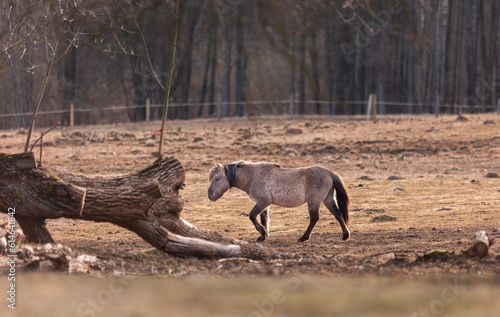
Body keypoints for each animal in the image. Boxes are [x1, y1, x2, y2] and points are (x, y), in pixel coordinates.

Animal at [208, 160, 352, 242]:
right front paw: (263, 236)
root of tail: (329, 173)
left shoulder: (263, 202)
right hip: (328, 199)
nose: (210, 195)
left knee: (314, 218)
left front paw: (263, 232)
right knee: (338, 214)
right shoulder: (264, 204)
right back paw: (345, 235)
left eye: (217, 179)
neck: (253, 176)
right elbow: (263, 219)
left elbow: (252, 216)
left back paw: (303, 237)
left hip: (314, 202)